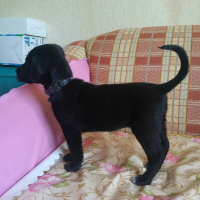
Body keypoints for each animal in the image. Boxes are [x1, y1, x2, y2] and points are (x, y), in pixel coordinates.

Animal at [16, 43, 189, 186]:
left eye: (28, 61)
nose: (16, 70)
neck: (61, 86)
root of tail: (159, 88)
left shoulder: (71, 129)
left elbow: (76, 148)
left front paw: (74, 165)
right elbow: (73, 147)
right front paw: (70, 157)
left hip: (145, 128)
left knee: (157, 152)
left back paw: (144, 180)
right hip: (158, 124)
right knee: (165, 146)